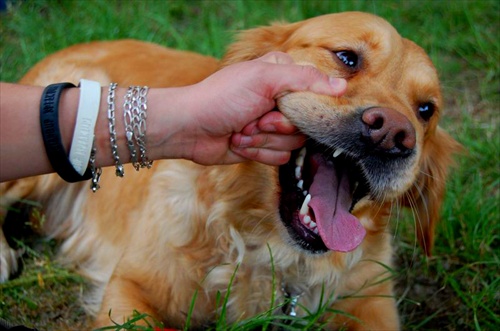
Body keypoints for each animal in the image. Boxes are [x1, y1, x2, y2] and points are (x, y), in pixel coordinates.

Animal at [0, 11, 460, 330]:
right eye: (346, 58)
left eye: (426, 110)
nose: (394, 134)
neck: (278, 254)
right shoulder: (132, 286)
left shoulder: (369, 302)